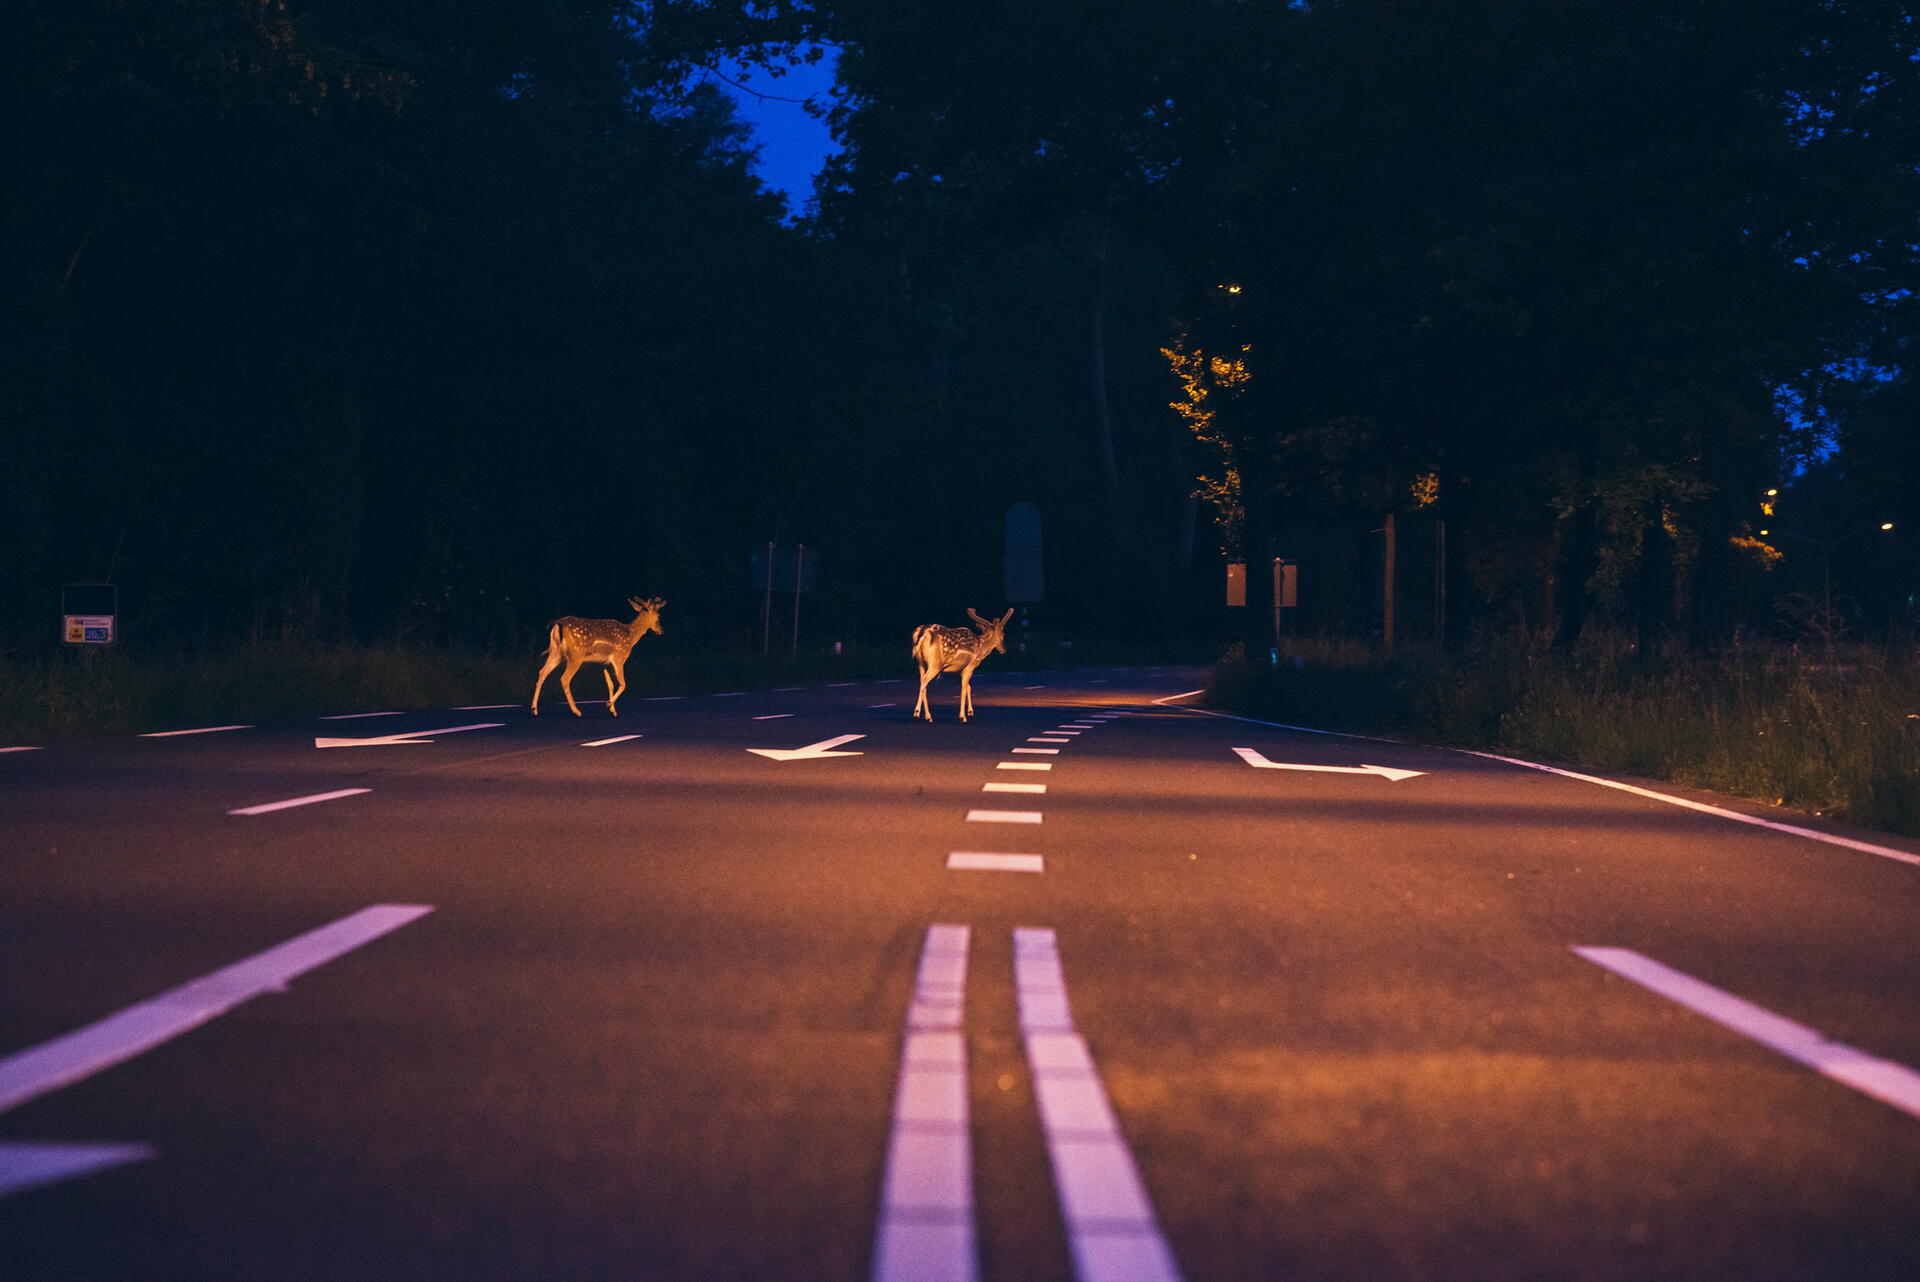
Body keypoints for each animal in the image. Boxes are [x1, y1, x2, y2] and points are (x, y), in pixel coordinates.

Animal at [533, 594, 668, 717]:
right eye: (659, 616)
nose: (661, 631)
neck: (631, 637)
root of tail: (557, 623)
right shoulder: (619, 658)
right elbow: (623, 684)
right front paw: (608, 704)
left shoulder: (604, 664)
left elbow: (610, 684)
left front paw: (613, 711)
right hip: (575, 655)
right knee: (564, 678)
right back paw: (576, 711)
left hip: (556, 652)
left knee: (542, 672)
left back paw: (534, 709)